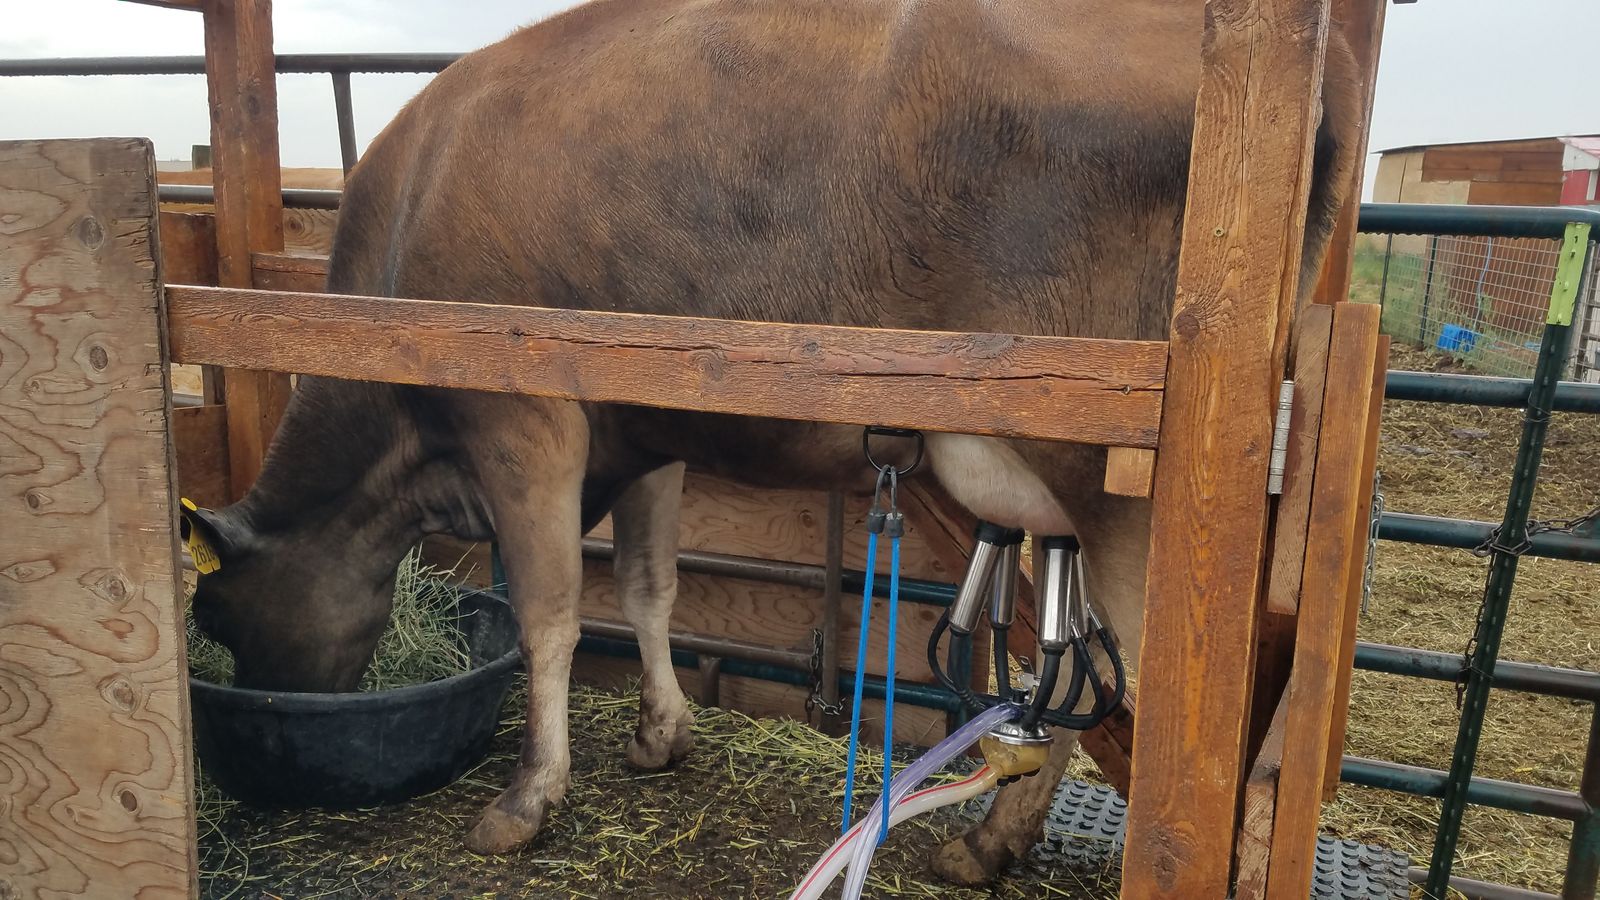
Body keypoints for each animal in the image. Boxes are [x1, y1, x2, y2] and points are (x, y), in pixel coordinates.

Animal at [185, 0, 1362, 884]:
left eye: (218, 614)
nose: (270, 727)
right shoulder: (644, 427)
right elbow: (649, 586)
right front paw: (660, 736)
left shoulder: (525, 414)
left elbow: (551, 614)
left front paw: (526, 801)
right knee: (1092, 678)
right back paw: (986, 846)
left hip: (1132, 482)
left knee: (1161, 703)